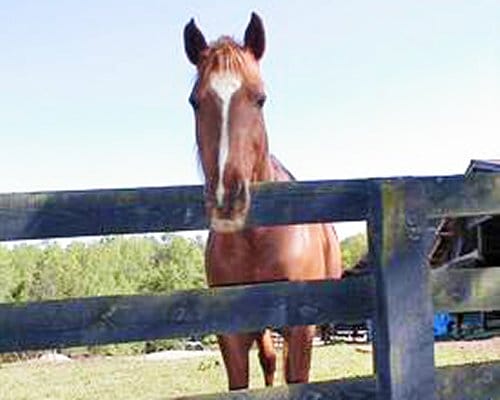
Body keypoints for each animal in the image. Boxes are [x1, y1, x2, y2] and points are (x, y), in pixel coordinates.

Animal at [184, 13, 344, 390]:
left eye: (260, 98)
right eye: (195, 101)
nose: (227, 197)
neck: (257, 239)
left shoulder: (301, 328)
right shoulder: (232, 333)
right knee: (269, 360)